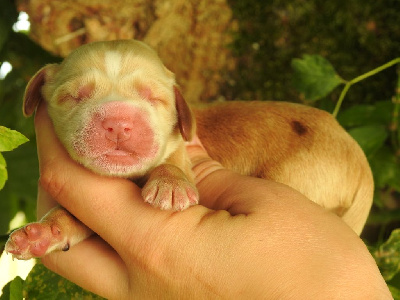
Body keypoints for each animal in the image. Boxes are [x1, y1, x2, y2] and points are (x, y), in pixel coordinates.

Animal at [5, 39, 376, 260]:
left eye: (155, 98)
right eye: (73, 97)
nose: (118, 122)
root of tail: (363, 165)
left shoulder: (180, 152)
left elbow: (173, 164)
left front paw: (170, 185)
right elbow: (77, 217)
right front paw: (42, 232)